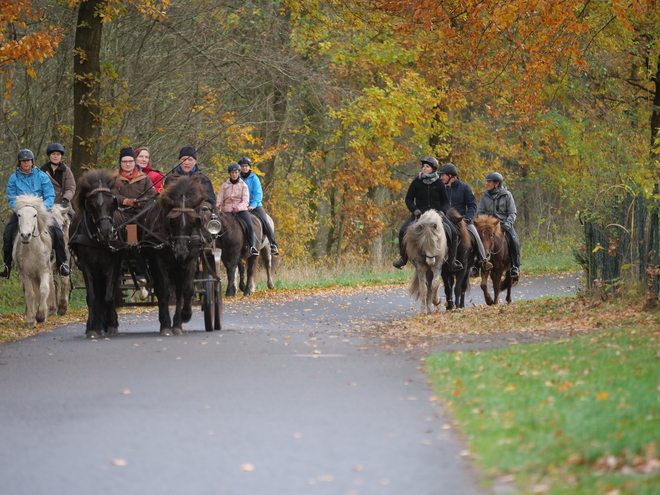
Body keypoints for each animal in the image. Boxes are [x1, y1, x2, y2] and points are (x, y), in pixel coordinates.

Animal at [13, 196, 56, 328]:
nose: (25, 235)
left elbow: (44, 289)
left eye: (35, 215)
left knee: (51, 287)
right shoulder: (25, 274)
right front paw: (31, 320)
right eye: (19, 215)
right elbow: (30, 294)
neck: (32, 249)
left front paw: (41, 316)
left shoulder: (44, 271)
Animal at [70, 170, 124, 338]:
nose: (107, 232)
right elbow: (92, 297)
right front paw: (92, 328)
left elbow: (108, 296)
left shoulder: (113, 264)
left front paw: (112, 323)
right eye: (92, 205)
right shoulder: (86, 265)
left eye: (112, 203)